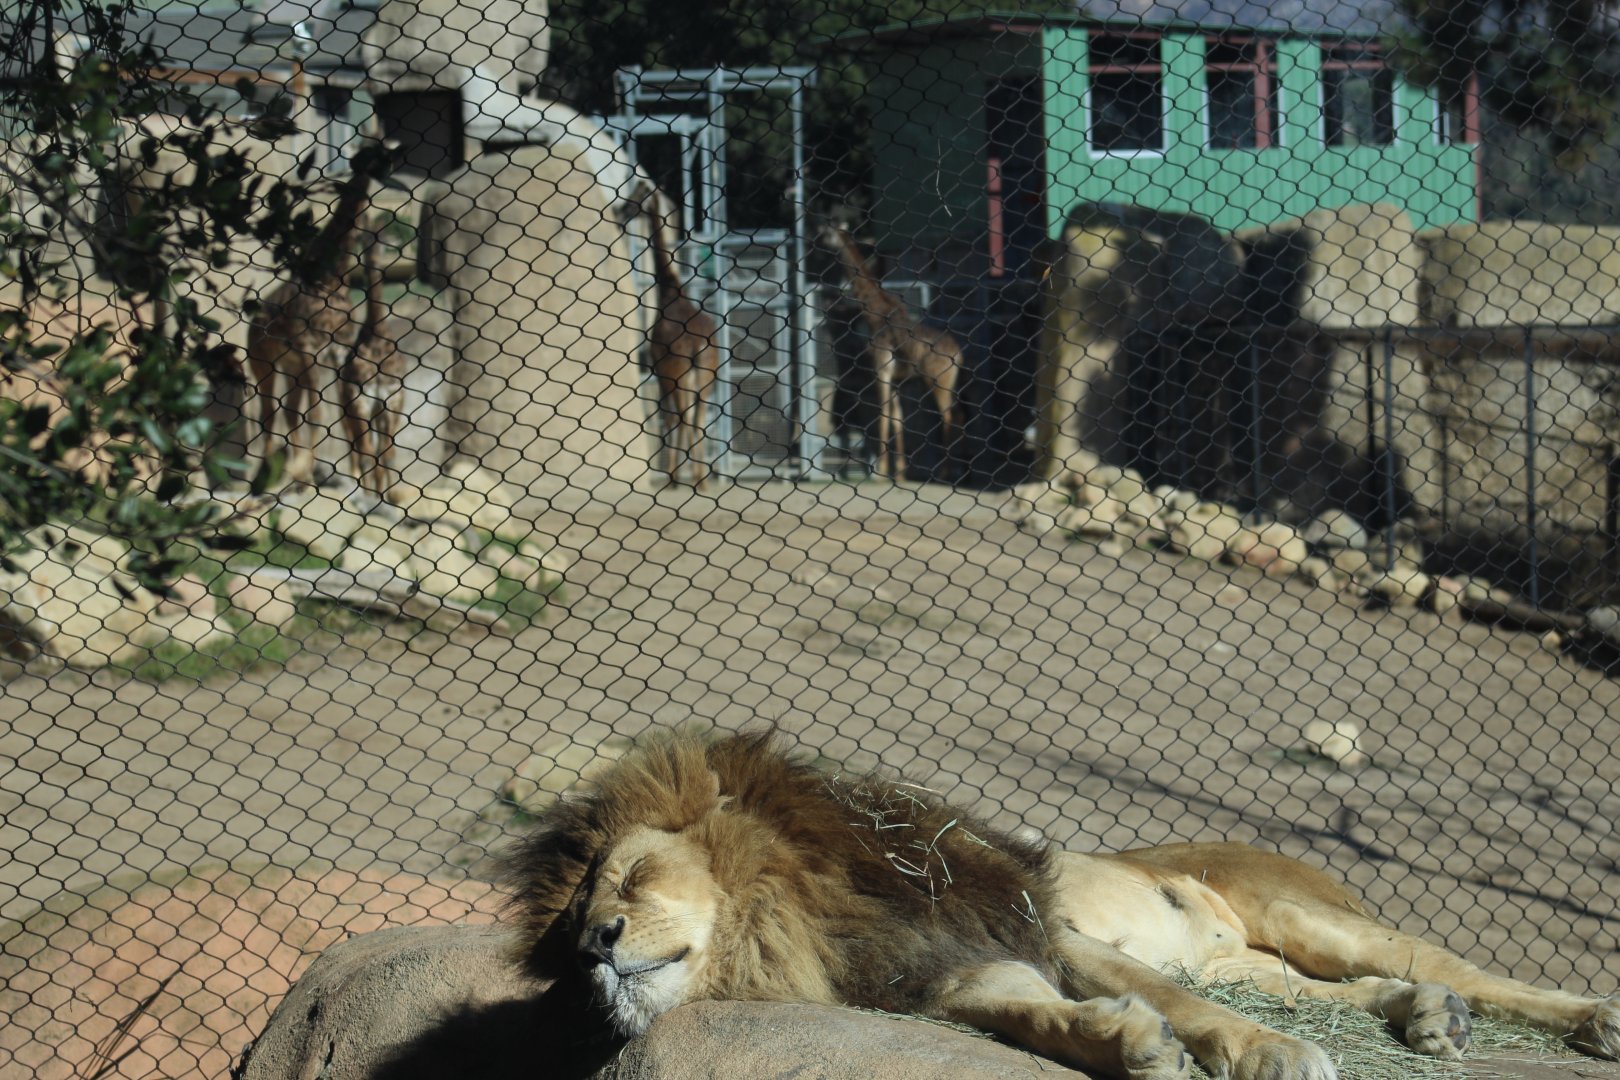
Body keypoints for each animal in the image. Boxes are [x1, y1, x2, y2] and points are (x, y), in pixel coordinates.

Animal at [503, 731, 1620, 1080]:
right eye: (575, 917)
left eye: (631, 882)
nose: (596, 944)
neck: (797, 918)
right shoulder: (946, 973)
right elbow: (1028, 1016)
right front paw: (1126, 1047)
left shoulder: (1046, 926)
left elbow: (1199, 1017)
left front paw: (1265, 1058)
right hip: (1256, 960)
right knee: (1348, 990)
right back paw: (1428, 1021)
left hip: (1312, 918)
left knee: (1454, 967)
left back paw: (1586, 1019)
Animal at [642, 187, 720, 489]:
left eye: (637, 193)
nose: (623, 209)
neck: (670, 289)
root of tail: (698, 345)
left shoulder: (661, 371)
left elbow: (669, 419)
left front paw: (673, 476)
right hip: (705, 376)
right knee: (699, 419)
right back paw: (702, 479)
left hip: (680, 373)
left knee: (684, 417)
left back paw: (690, 479)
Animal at [819, 220, 963, 481]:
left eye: (825, 233)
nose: (815, 244)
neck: (876, 314)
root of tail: (959, 354)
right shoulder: (897, 381)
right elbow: (898, 419)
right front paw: (901, 473)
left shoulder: (882, 371)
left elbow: (883, 415)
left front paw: (881, 472)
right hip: (951, 381)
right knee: (961, 414)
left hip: (938, 380)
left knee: (949, 415)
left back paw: (946, 471)